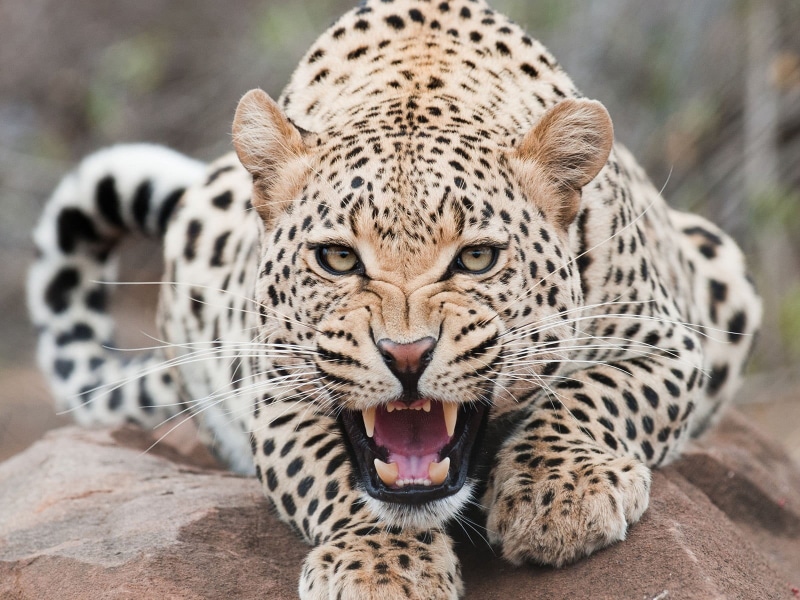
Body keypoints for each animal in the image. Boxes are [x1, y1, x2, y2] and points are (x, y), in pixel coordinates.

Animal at [28, 0, 762, 598]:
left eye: (476, 258)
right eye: (337, 258)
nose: (407, 355)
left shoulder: (668, 342)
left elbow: (594, 394)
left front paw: (558, 498)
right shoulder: (276, 390)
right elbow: (331, 474)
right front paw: (381, 567)